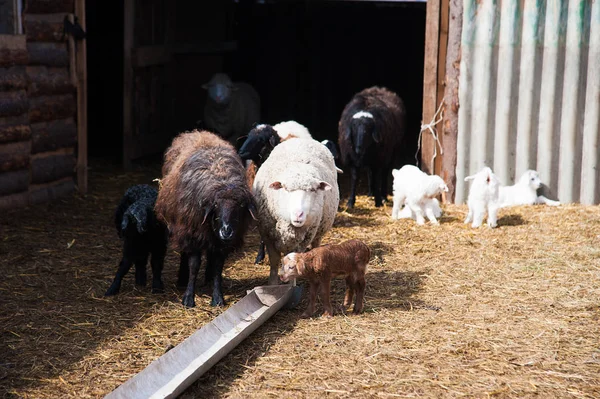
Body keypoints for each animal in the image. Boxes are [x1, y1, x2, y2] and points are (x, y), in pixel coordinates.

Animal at [252, 139, 340, 286]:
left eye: (313, 190)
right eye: (285, 189)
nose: (298, 214)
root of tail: (303, 139)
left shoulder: (303, 240)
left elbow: (293, 262)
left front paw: (291, 286)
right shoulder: (267, 235)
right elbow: (274, 262)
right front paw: (273, 284)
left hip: (319, 230)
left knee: (316, 244)